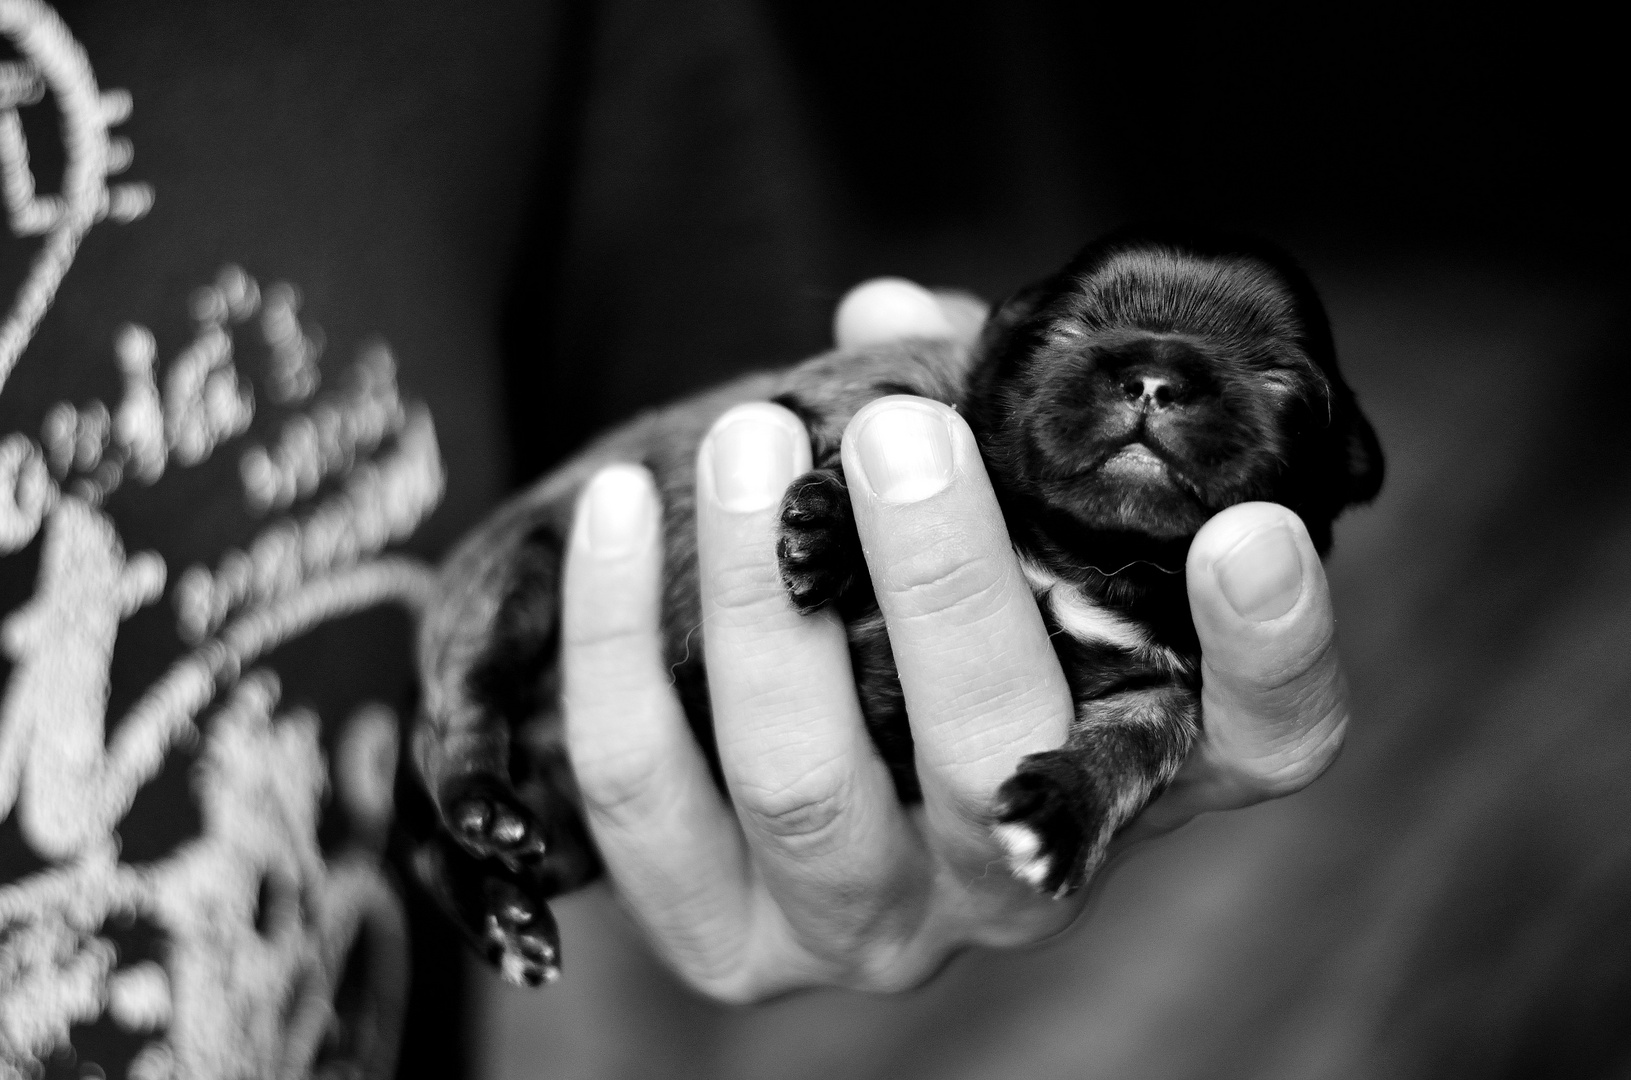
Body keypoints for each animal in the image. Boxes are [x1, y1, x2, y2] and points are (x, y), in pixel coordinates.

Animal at [404, 230, 1376, 991]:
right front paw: (830, 532)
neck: (1086, 555)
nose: (1153, 379)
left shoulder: (1166, 679)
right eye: (1064, 331)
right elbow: (893, 409)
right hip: (511, 582)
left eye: (1281, 381)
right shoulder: (868, 381)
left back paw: (504, 915)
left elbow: (1137, 741)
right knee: (456, 719)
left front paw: (1061, 812)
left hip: (568, 828)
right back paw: (484, 807)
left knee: (430, 849)